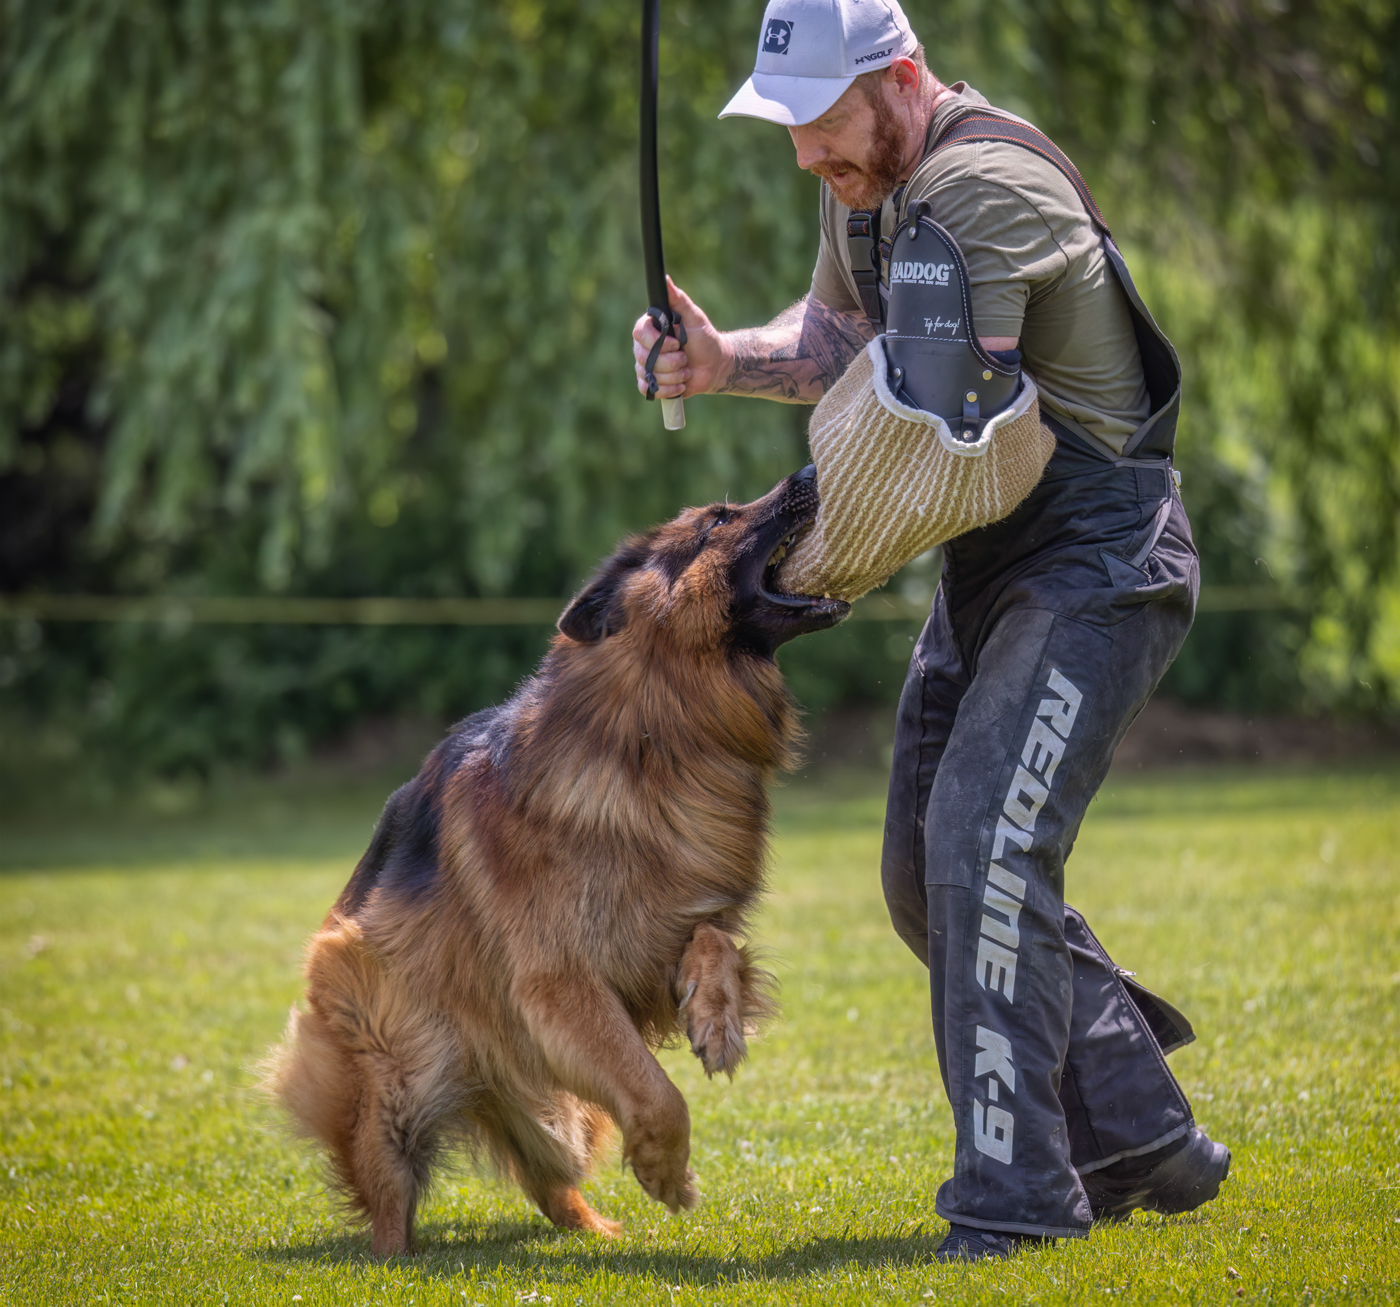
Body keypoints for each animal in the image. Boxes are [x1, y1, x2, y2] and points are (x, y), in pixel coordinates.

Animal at [260, 468, 848, 1254]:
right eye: (720, 518)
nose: (810, 471)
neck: (655, 732)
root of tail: (480, 1082)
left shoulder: (659, 933)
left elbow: (715, 939)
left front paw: (717, 1016)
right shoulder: (561, 983)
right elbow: (656, 1090)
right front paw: (666, 1169)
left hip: (558, 1115)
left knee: (551, 1182)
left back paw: (597, 1230)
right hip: (395, 1074)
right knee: (390, 1196)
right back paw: (397, 1257)